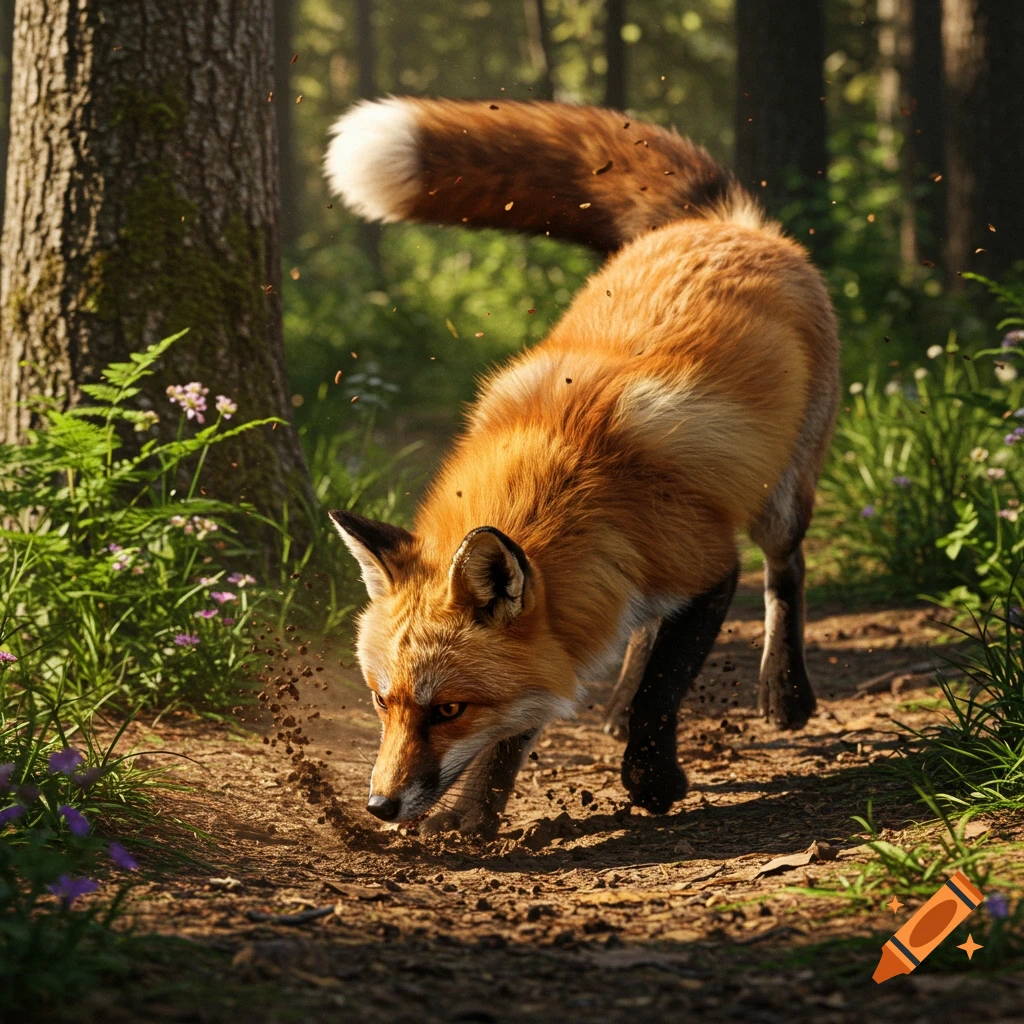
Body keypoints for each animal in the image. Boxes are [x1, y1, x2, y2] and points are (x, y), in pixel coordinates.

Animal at [322, 98, 840, 836]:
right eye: (379, 701)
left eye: (448, 709)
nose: (380, 807)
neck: (570, 491)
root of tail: (718, 224)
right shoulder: (577, 616)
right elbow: (525, 722)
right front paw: (477, 814)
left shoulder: (709, 565)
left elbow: (663, 690)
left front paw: (652, 782)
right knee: (648, 631)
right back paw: (619, 705)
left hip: (781, 497)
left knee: (785, 568)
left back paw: (784, 692)